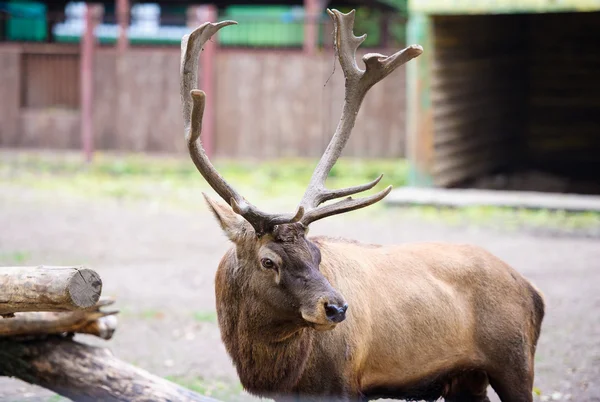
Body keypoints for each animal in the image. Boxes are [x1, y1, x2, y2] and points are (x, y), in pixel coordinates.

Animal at [178, 9, 544, 402]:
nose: (337, 307)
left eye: (317, 253)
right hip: (467, 377)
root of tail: (533, 293)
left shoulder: (343, 385)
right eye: (268, 260)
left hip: (515, 361)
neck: (279, 372)